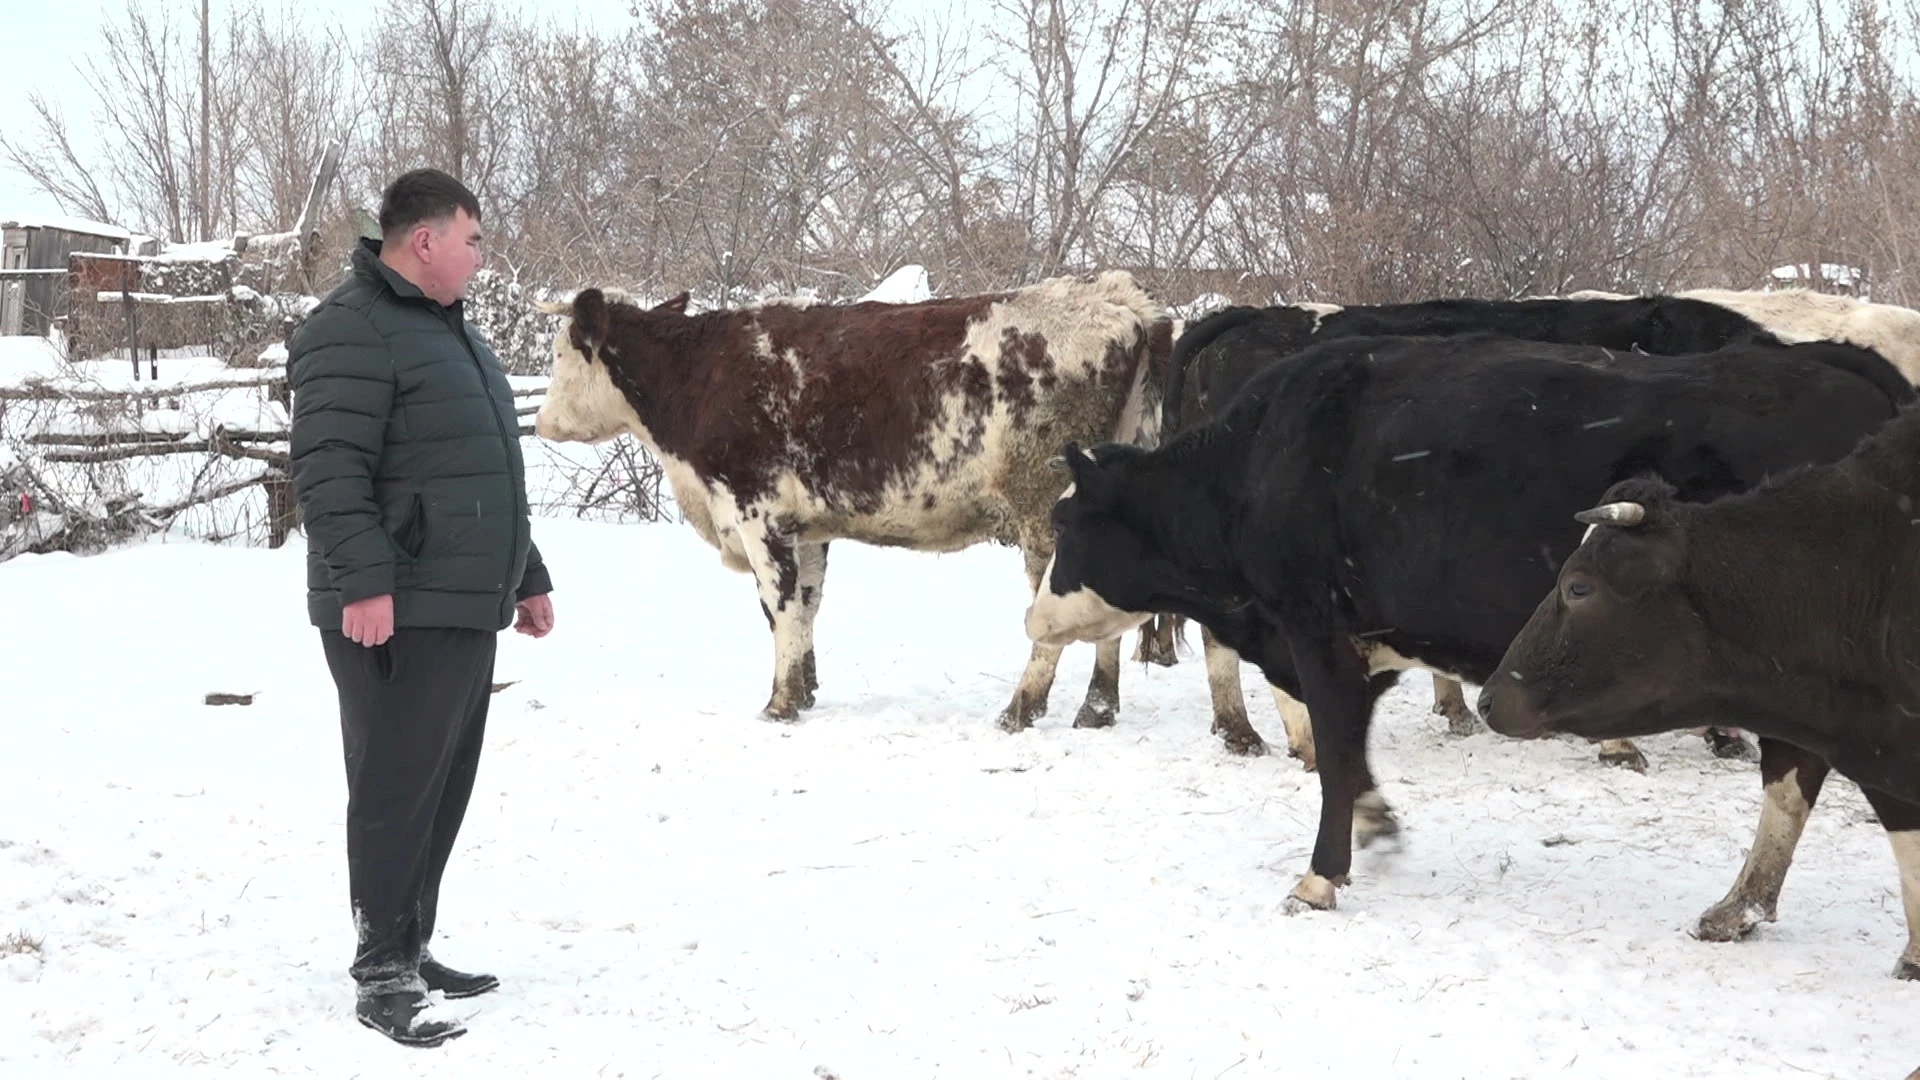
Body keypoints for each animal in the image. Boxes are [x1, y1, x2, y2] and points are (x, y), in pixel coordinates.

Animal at [533, 269, 1175, 726]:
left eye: (561, 354)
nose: (539, 422)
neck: (699, 376)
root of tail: (1117, 296)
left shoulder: (757, 511)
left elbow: (779, 606)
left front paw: (780, 705)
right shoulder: (805, 527)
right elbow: (806, 605)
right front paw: (804, 691)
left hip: (1042, 510)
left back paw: (1021, 708)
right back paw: (1096, 710)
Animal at [1029, 326, 1912, 907]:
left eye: (1066, 523)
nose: (1033, 621)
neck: (1255, 463)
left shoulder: (1315, 631)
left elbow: (1336, 752)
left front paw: (1320, 874)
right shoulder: (1365, 642)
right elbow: (1351, 755)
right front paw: (1376, 826)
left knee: (1796, 770)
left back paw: (1746, 899)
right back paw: (1743, 905)